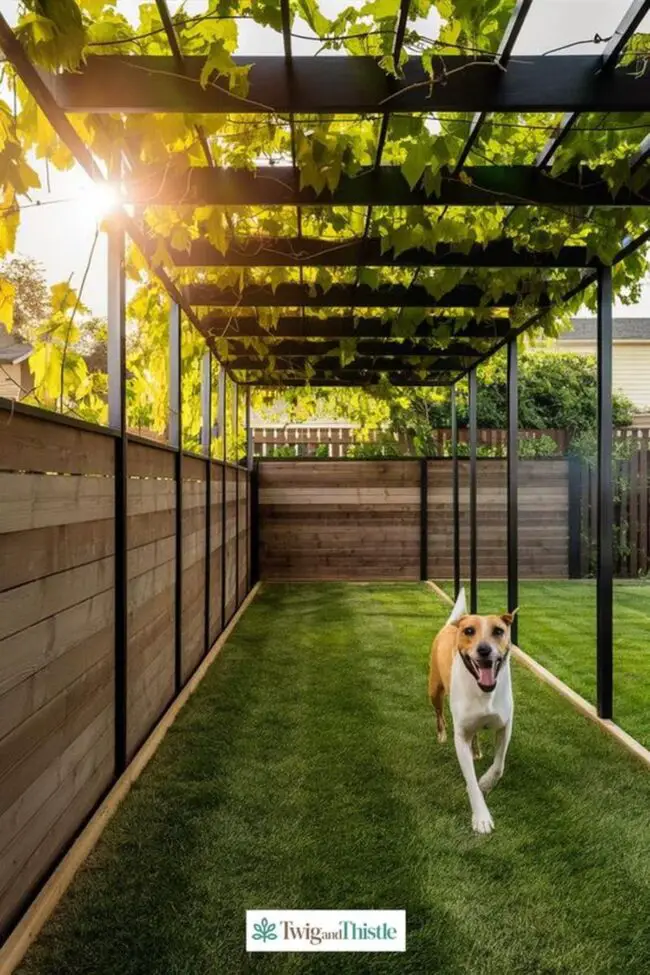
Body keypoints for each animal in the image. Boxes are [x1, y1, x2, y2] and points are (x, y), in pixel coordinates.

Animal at [428, 592, 512, 836]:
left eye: (499, 631)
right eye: (469, 631)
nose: (484, 650)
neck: (483, 691)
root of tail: (451, 625)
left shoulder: (506, 725)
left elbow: (499, 766)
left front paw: (486, 782)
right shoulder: (461, 736)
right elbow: (471, 781)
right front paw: (481, 817)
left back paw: (476, 751)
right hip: (434, 690)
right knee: (439, 714)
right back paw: (441, 734)